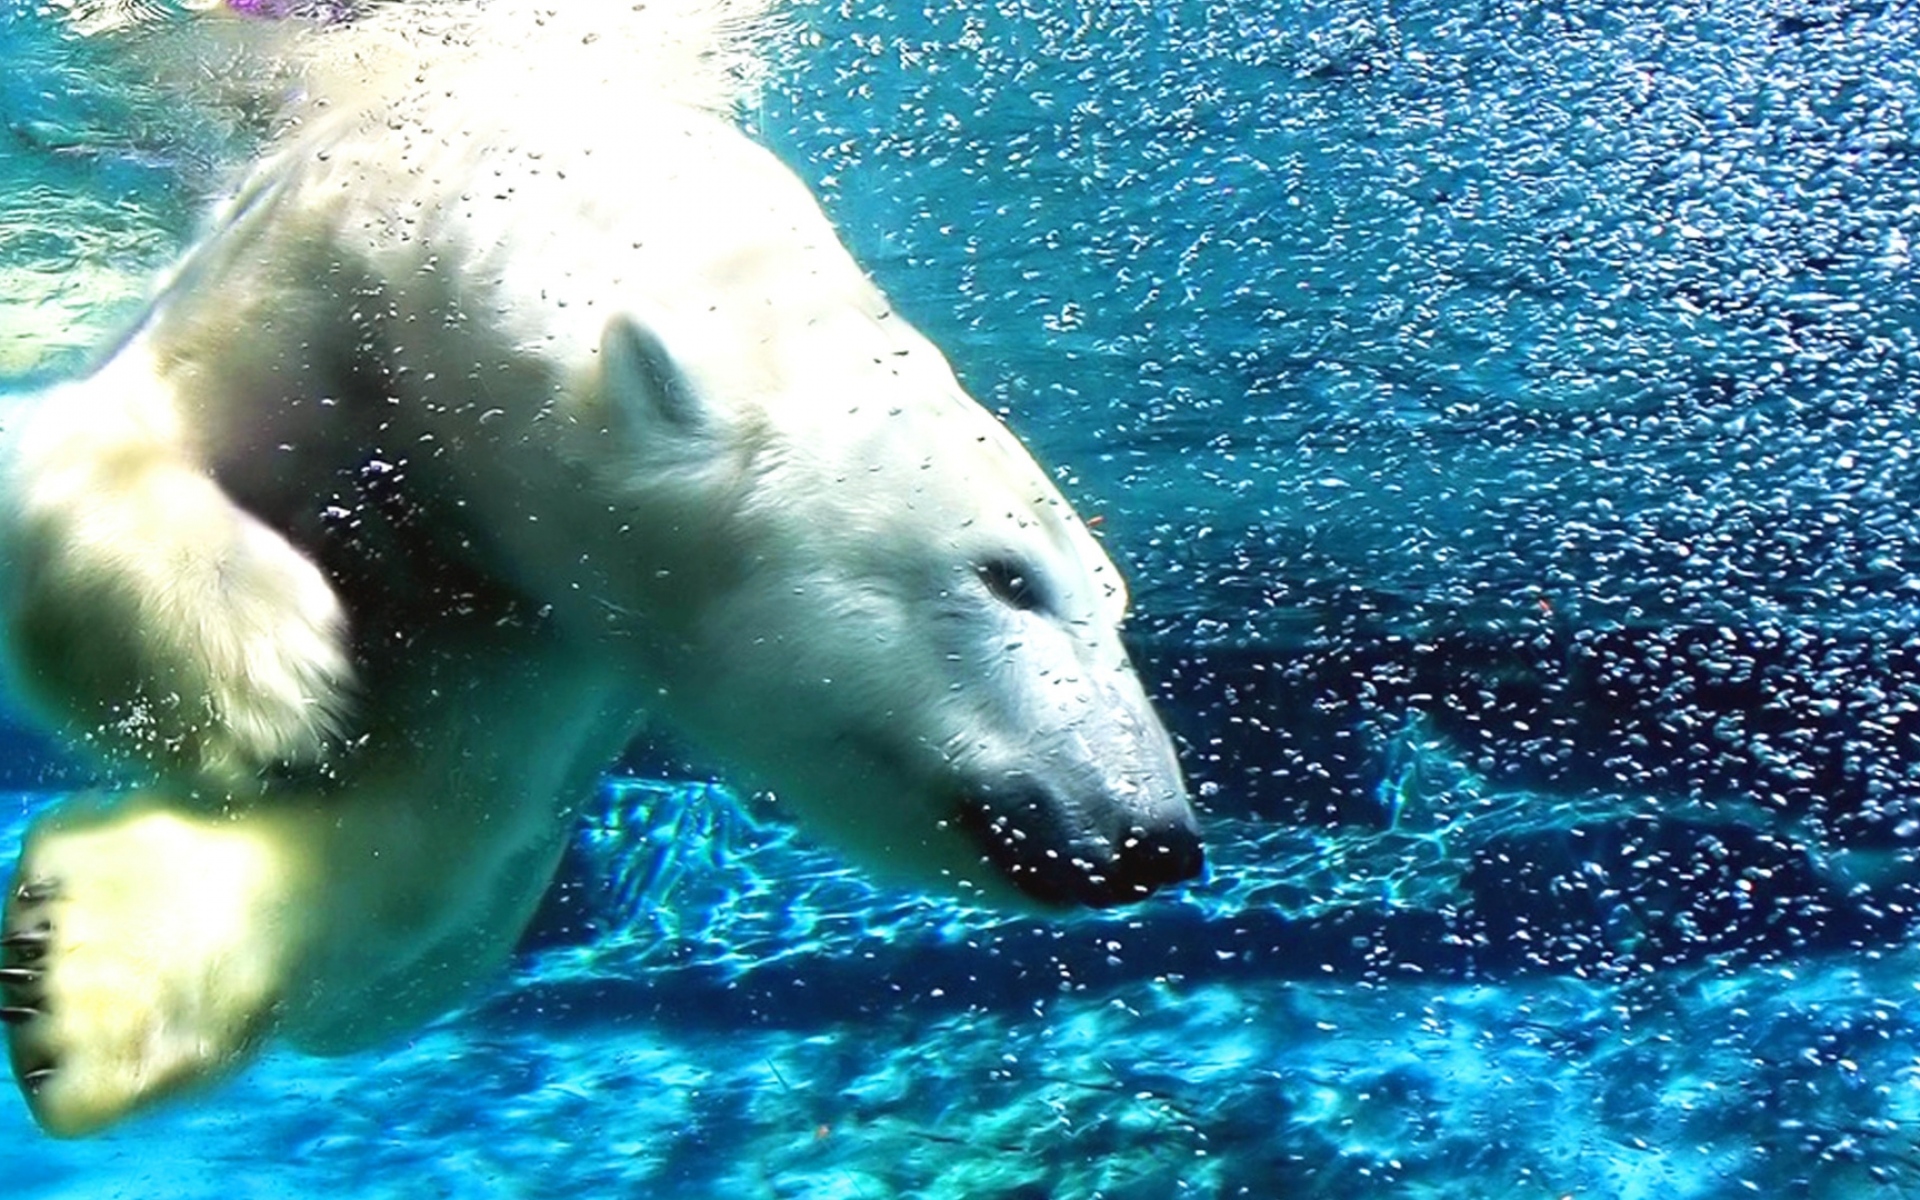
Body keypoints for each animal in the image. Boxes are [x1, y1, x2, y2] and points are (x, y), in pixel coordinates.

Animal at [0, 0, 1198, 1136]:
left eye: (1115, 606)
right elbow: (88, 441)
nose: (1156, 840)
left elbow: (433, 826)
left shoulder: (548, 616)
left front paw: (74, 970)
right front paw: (267, 669)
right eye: (1008, 575)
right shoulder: (311, 280)